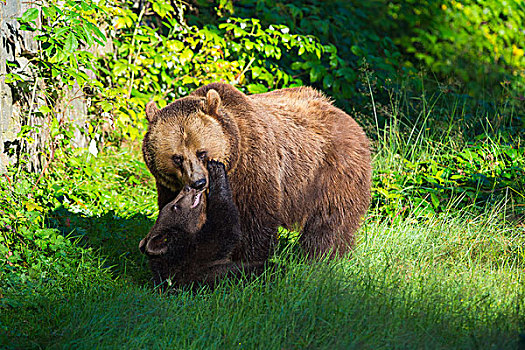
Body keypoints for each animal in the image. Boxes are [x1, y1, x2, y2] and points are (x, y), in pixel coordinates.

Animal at [143, 82, 370, 262]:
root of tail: (342, 112)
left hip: (331, 170)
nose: (198, 182)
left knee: (331, 219)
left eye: (202, 152)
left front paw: (247, 260)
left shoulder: (252, 164)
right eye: (177, 157)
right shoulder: (171, 188)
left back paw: (322, 256)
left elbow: (254, 220)